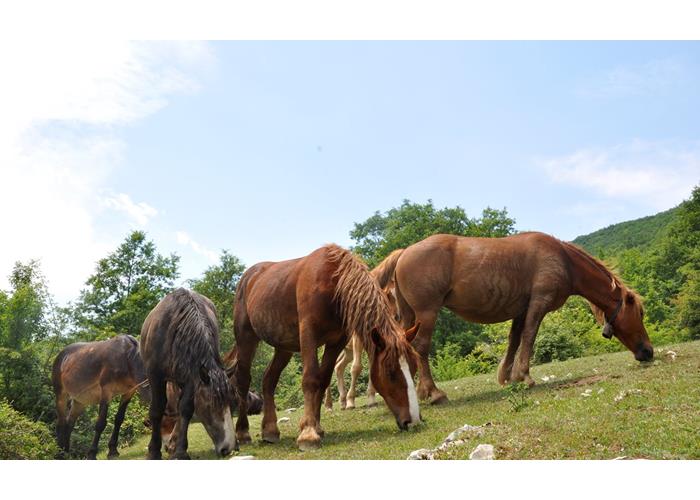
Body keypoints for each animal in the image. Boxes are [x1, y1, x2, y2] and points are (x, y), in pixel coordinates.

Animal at [141, 288, 237, 458]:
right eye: (211, 406)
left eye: (233, 403)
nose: (228, 448)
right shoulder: (155, 376)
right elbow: (157, 410)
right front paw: (154, 451)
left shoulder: (194, 378)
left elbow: (186, 409)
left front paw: (180, 450)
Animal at [228, 244, 422, 452]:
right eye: (390, 372)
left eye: (413, 368)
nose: (413, 421)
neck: (334, 285)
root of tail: (248, 277)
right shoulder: (309, 335)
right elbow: (311, 379)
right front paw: (308, 434)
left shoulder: (337, 341)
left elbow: (323, 379)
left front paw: (316, 426)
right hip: (246, 338)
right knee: (243, 381)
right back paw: (242, 433)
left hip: (284, 346)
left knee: (268, 380)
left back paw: (270, 430)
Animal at [378, 232, 656, 404]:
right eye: (640, 313)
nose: (648, 351)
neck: (564, 260)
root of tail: (404, 252)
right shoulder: (538, 304)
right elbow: (529, 337)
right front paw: (524, 376)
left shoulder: (521, 310)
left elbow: (514, 340)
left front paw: (508, 376)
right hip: (427, 313)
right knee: (421, 347)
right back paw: (434, 393)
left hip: (410, 316)